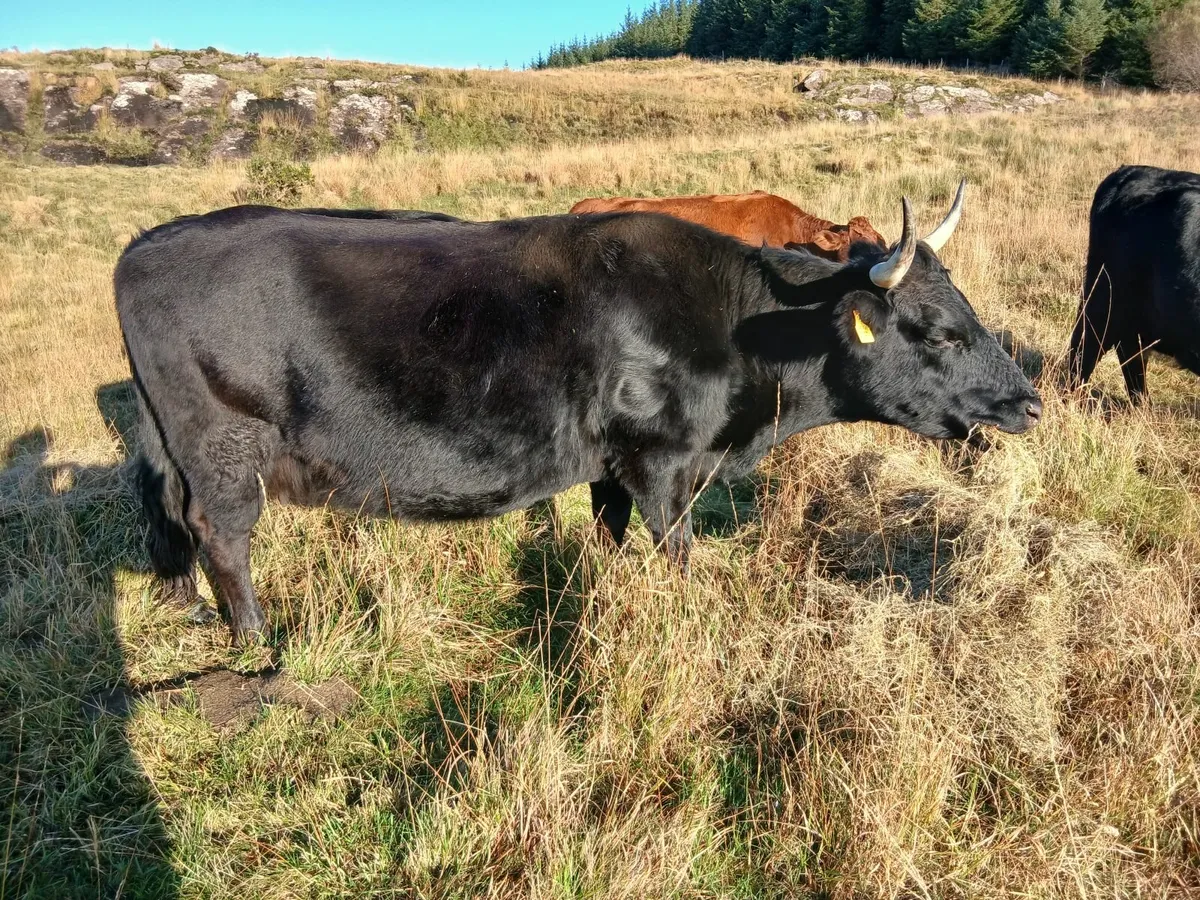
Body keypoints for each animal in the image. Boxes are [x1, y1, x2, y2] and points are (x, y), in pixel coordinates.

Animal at [116, 181, 1041, 643]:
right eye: (939, 330)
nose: (1030, 401)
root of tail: (148, 241)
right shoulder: (664, 466)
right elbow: (677, 558)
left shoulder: (611, 464)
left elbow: (607, 533)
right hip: (226, 450)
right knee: (220, 533)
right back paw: (255, 640)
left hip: (172, 445)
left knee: (162, 506)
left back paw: (183, 604)